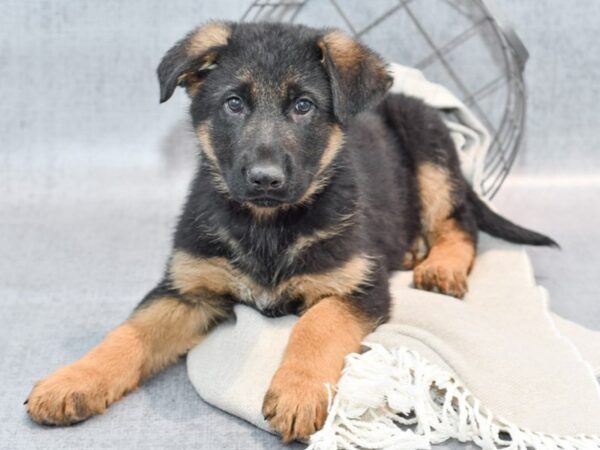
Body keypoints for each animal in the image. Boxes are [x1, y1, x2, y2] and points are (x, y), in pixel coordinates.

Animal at [25, 22, 556, 442]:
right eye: (233, 104)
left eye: (303, 106)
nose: (265, 179)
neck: (267, 225)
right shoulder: (186, 289)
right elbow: (129, 333)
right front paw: (74, 379)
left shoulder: (358, 287)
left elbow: (316, 324)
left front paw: (298, 391)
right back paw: (410, 252)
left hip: (429, 152)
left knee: (459, 221)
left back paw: (440, 266)